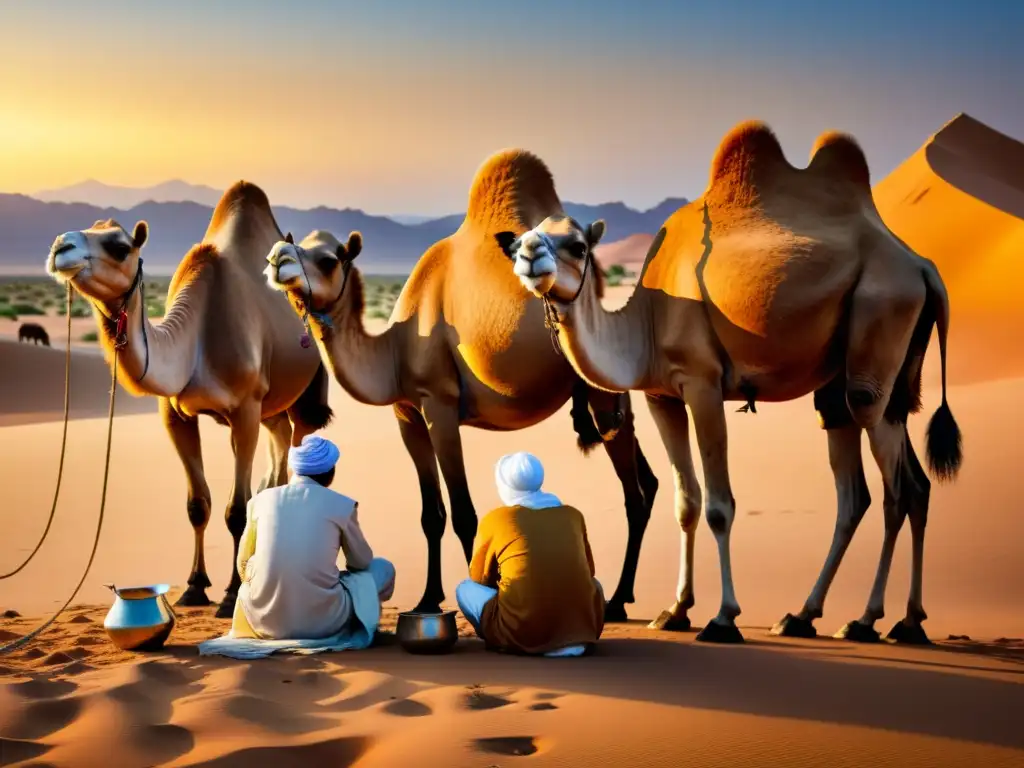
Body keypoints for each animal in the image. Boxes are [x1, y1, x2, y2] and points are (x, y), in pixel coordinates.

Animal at [45, 183, 331, 622]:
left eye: (119, 246)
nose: (61, 245)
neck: (195, 341)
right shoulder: (175, 415)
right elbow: (198, 504)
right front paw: (195, 587)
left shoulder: (244, 410)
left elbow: (236, 510)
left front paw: (231, 595)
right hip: (271, 409)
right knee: (278, 453)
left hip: (301, 395)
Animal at [264, 150, 659, 618]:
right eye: (294, 242)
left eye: (328, 258)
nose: (277, 257)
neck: (394, 347)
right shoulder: (407, 413)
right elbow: (430, 515)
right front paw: (427, 598)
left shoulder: (440, 403)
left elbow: (464, 514)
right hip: (611, 387)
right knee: (649, 481)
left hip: (599, 391)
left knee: (634, 493)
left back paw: (617, 601)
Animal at [499, 120, 962, 647]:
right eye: (520, 241)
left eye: (577, 245)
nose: (529, 255)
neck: (645, 321)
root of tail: (923, 267)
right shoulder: (662, 396)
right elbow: (686, 501)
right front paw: (675, 611)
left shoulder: (702, 384)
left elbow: (720, 505)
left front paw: (723, 618)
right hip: (865, 377)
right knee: (878, 489)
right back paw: (848, 618)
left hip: (878, 329)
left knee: (895, 487)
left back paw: (866, 620)